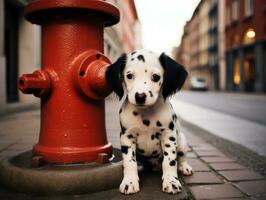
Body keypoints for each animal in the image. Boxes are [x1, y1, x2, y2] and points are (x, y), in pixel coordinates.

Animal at [105, 49, 192, 195]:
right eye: (129, 76)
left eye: (155, 77)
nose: (140, 96)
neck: (145, 114)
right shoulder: (126, 136)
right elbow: (129, 162)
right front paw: (130, 182)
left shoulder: (168, 135)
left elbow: (170, 161)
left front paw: (171, 181)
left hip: (182, 141)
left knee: (181, 156)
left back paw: (184, 167)